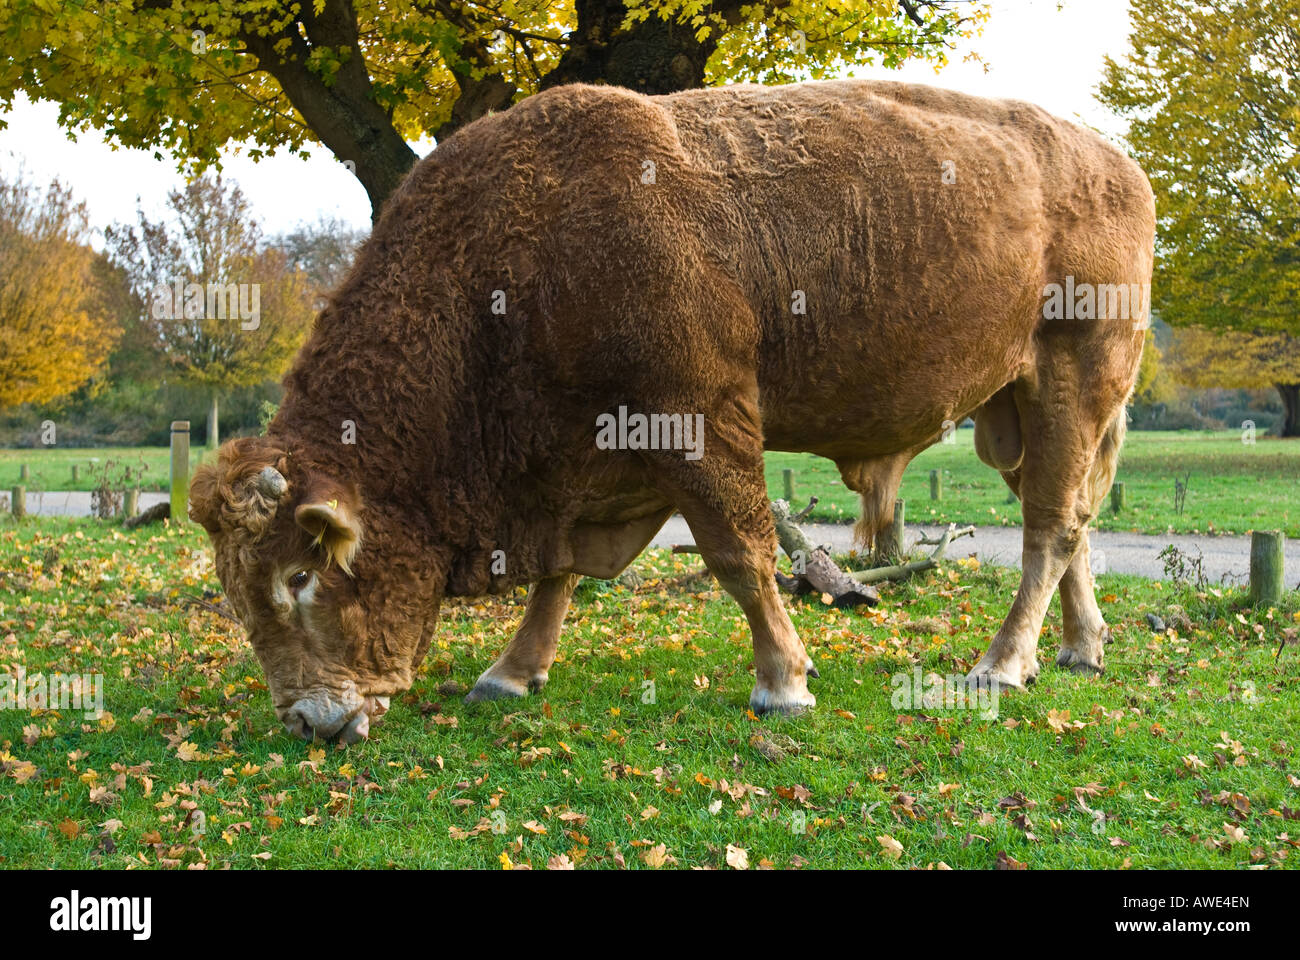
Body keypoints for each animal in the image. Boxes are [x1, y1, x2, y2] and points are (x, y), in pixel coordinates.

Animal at [189, 82, 1149, 738]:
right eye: (236, 593)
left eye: (300, 576)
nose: (309, 720)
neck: (511, 264)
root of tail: (1121, 167)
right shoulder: (576, 463)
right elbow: (559, 572)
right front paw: (511, 672)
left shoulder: (697, 423)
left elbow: (739, 554)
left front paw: (783, 683)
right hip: (1013, 414)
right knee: (1071, 518)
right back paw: (1080, 648)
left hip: (1073, 381)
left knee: (1052, 527)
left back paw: (1002, 665)